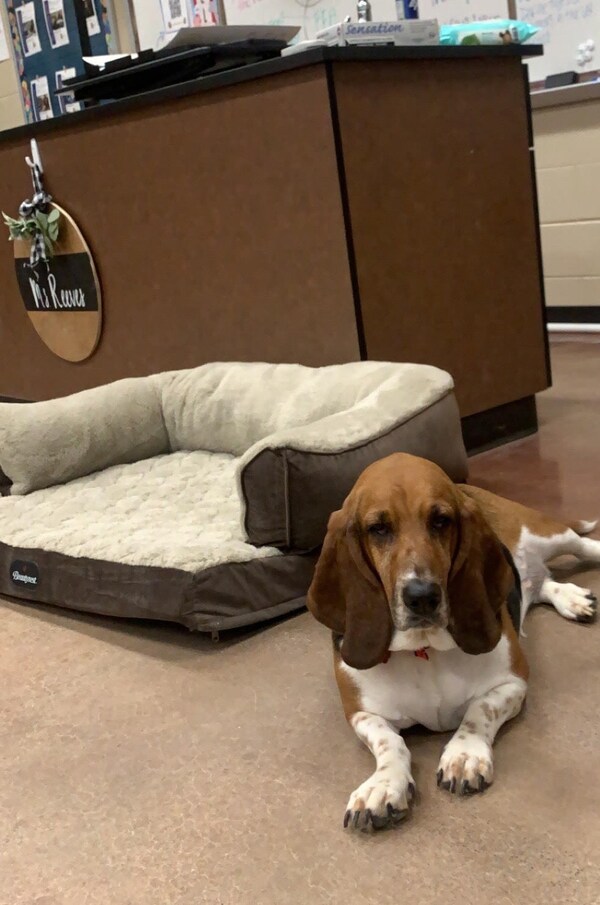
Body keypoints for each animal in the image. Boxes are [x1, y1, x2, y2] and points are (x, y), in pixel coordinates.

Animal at [307, 453, 599, 830]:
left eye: (440, 521)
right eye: (379, 529)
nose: (422, 596)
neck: (425, 649)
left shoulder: (513, 681)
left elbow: (479, 709)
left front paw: (464, 754)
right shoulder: (360, 712)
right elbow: (389, 741)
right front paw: (383, 784)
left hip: (551, 535)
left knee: (585, 549)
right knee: (541, 582)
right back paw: (569, 598)